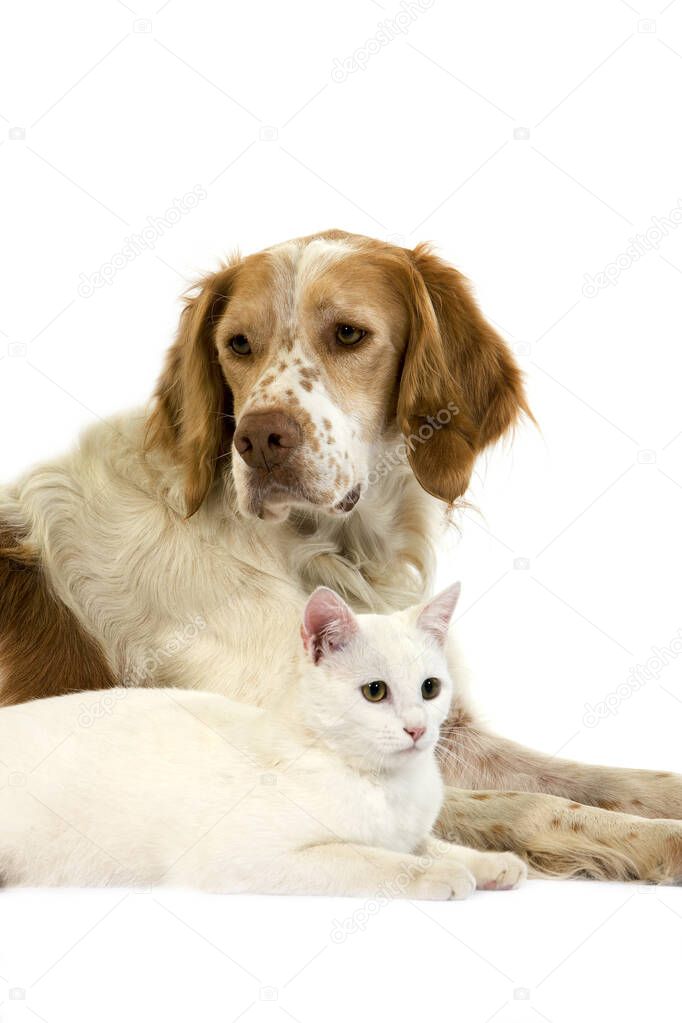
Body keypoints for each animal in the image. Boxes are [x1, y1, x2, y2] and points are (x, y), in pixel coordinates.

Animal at [0, 589, 527, 900]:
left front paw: (489, 863)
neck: (386, 784)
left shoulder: (412, 831)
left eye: (430, 688)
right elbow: (371, 859)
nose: (418, 729)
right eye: (375, 691)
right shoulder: (247, 858)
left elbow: (432, 844)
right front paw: (437, 876)